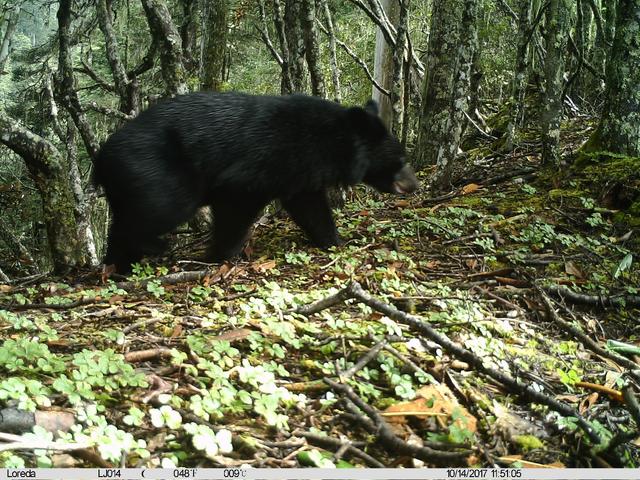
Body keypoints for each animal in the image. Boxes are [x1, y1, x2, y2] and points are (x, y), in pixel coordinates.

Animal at [92, 93, 418, 274]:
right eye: (401, 159)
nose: (414, 185)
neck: (331, 143)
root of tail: (101, 159)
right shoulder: (262, 165)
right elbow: (236, 206)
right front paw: (219, 255)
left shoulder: (301, 174)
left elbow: (311, 208)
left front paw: (336, 241)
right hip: (158, 174)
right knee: (158, 211)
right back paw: (156, 245)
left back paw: (119, 268)